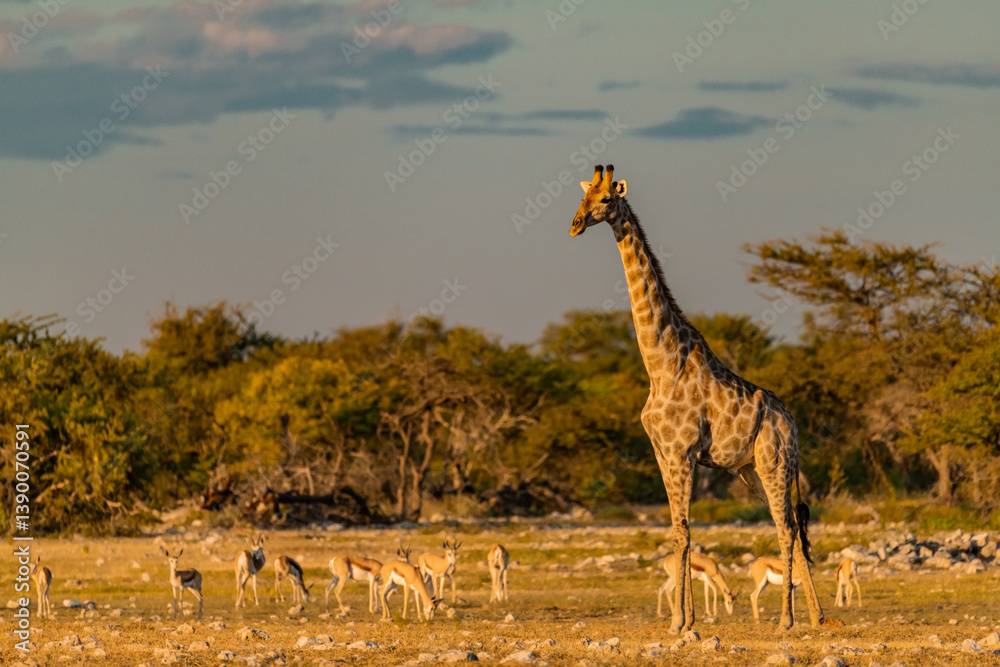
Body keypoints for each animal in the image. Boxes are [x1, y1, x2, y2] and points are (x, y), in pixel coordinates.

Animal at [570, 165, 824, 633]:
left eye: (606, 200)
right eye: (582, 197)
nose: (576, 225)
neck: (661, 364)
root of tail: (793, 424)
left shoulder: (682, 451)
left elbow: (684, 532)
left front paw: (678, 623)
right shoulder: (662, 453)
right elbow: (678, 531)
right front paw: (685, 621)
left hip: (775, 464)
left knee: (786, 528)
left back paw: (787, 620)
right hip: (752, 472)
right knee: (795, 529)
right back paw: (816, 617)